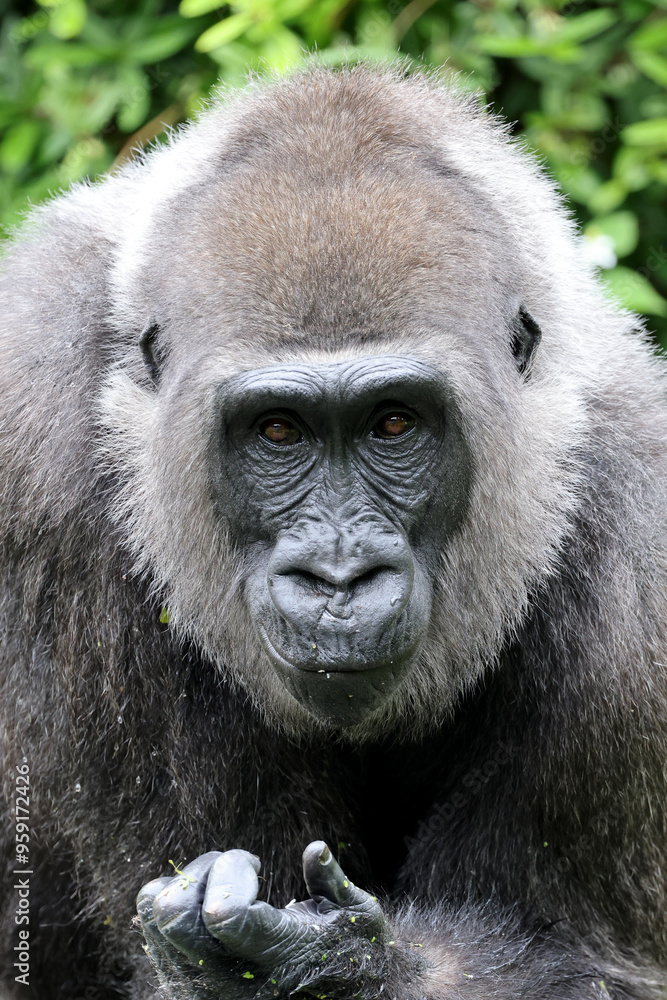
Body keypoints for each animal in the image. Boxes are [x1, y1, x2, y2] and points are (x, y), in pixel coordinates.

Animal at [0, 63, 665, 1000]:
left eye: (393, 424)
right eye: (278, 432)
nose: (340, 580)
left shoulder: (641, 556)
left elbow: (577, 954)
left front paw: (328, 969)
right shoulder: (35, 441)